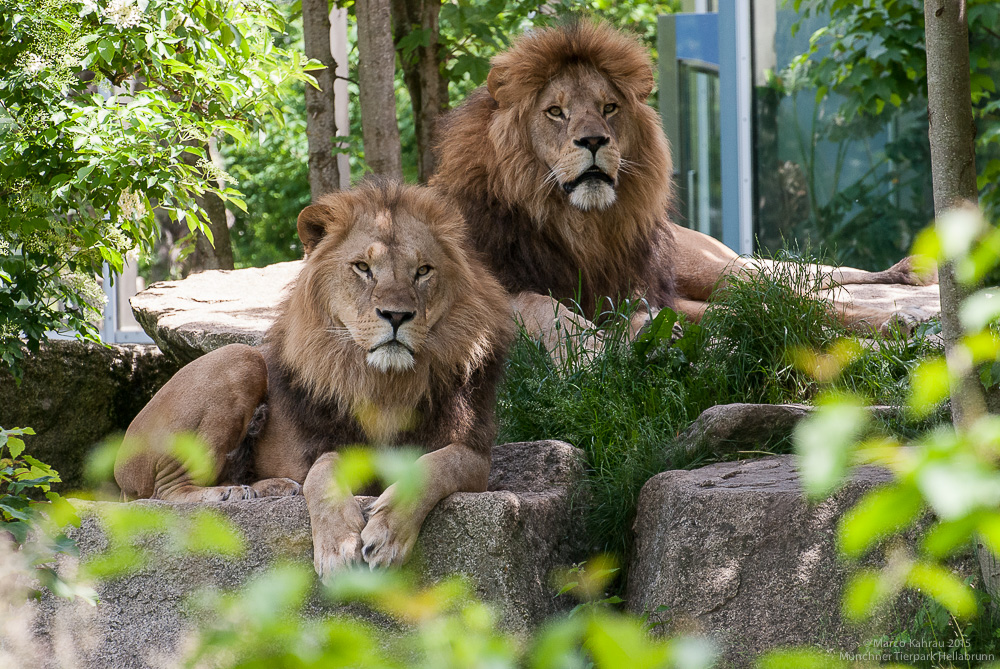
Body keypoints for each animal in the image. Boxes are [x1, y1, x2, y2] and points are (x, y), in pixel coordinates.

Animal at [113, 181, 512, 576]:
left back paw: (266, 488)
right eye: (363, 267)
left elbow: (435, 466)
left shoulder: (476, 455)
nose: (396, 316)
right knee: (162, 494)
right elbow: (324, 469)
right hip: (240, 358)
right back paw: (227, 493)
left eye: (423, 270)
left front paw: (387, 533)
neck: (386, 384)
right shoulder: (330, 444)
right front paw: (338, 546)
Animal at [432, 20, 936, 348]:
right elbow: (547, 312)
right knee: (788, 291)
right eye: (555, 111)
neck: (579, 226)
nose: (594, 140)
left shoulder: (644, 288)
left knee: (795, 288)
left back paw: (901, 303)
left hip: (712, 267)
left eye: (609, 107)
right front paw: (608, 347)